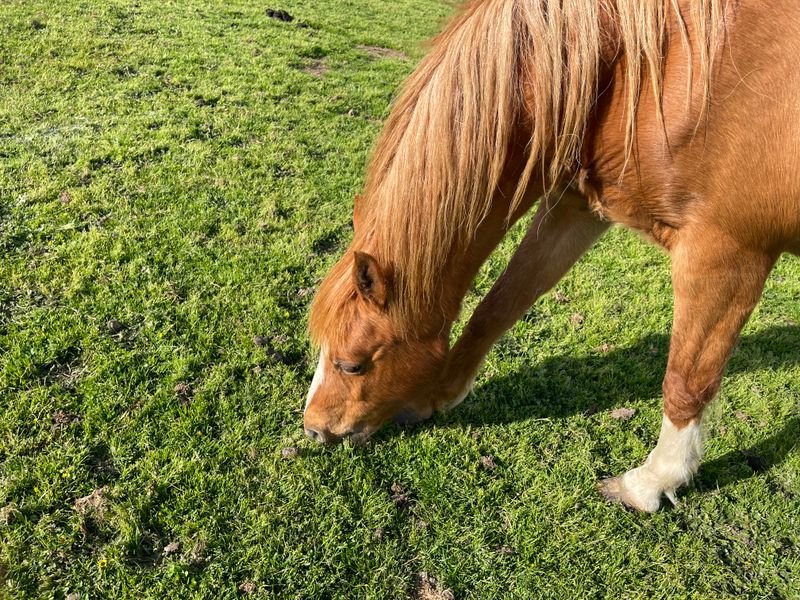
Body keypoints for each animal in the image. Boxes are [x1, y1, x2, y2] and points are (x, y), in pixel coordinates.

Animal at [304, 0, 800, 512]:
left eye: (352, 365)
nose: (314, 430)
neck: (647, 74)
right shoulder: (575, 207)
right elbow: (497, 306)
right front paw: (435, 396)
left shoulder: (725, 254)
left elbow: (687, 379)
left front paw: (650, 483)